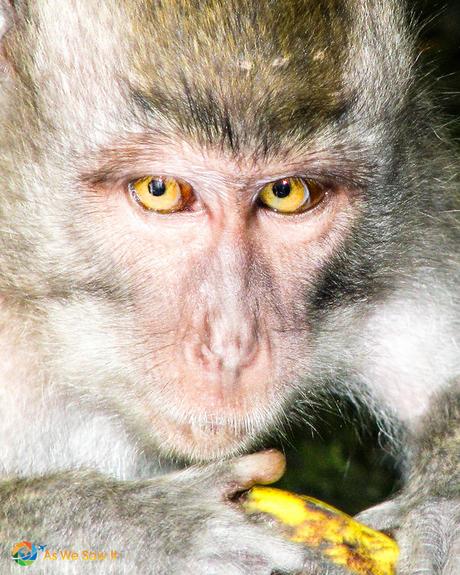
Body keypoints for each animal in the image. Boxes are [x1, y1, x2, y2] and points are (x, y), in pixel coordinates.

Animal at [0, 0, 456, 572]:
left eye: (287, 192)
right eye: (160, 190)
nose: (232, 346)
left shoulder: (408, 200)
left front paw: (443, 516)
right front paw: (150, 529)